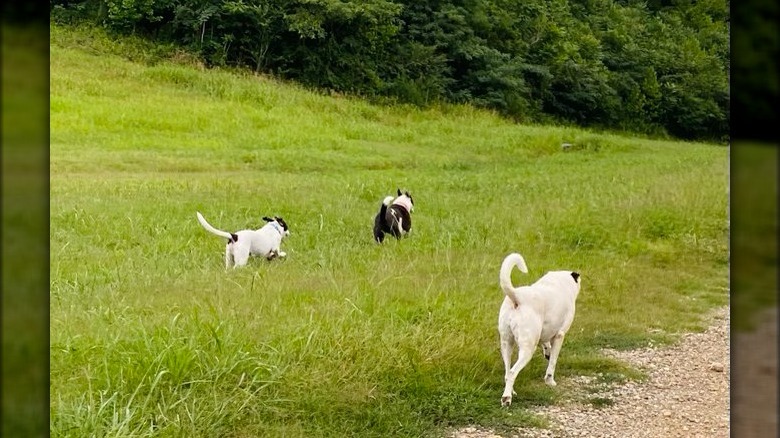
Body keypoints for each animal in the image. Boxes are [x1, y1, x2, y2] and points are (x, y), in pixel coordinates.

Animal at [500, 253, 580, 408]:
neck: (558, 282)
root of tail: (517, 297)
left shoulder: (545, 331)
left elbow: (546, 344)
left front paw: (547, 352)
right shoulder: (560, 335)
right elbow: (553, 362)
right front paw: (550, 381)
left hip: (506, 343)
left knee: (507, 372)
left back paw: (511, 391)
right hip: (527, 348)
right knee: (512, 372)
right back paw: (506, 398)